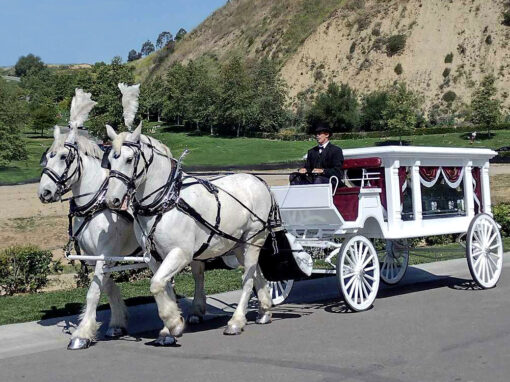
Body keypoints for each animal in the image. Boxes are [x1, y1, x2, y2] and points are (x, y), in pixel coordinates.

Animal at [36, 89, 140, 350]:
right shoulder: (95, 256)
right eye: (47, 157)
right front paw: (117, 323)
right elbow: (107, 286)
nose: (44, 193)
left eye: (64, 157)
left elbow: (94, 291)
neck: (97, 205)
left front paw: (82, 333)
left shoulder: (105, 252)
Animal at [103, 124, 274, 346]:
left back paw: (236, 321)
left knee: (247, 279)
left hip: (254, 239)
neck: (165, 202)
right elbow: (163, 288)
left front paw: (174, 323)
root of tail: (259, 180)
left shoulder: (181, 253)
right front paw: (168, 328)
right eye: (110, 160)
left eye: (129, 159)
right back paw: (265, 310)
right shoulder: (154, 258)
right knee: (256, 273)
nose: (112, 200)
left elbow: (156, 284)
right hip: (239, 246)